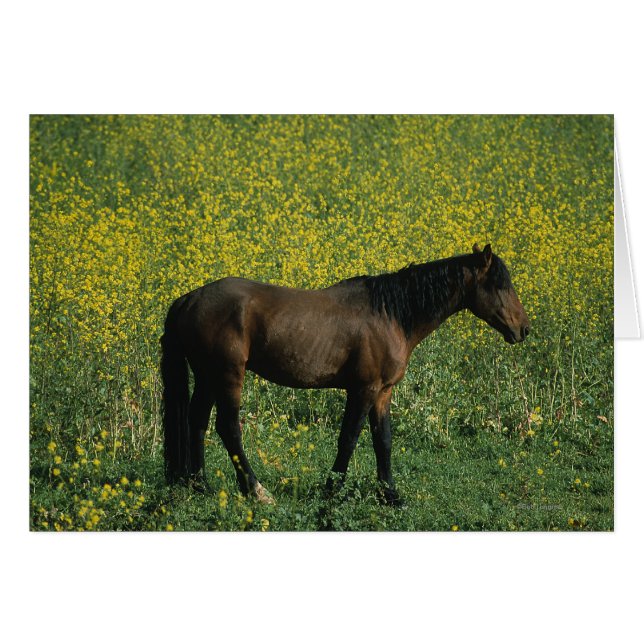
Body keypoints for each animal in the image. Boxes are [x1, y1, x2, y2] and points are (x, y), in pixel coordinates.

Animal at [160, 243, 530, 505]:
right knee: (228, 428)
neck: (391, 314)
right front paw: (331, 490)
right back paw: (256, 491)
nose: (523, 329)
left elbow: (383, 441)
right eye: (500, 285)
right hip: (227, 375)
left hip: (208, 376)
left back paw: (201, 484)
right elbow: (349, 438)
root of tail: (188, 299)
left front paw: (390, 495)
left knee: (197, 421)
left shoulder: (383, 392)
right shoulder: (363, 389)